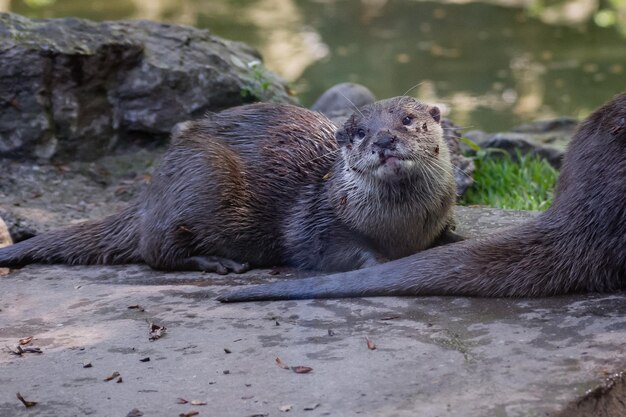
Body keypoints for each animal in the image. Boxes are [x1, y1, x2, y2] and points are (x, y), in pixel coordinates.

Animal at [0, 97, 458, 272]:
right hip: (199, 177)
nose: (383, 140)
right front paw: (380, 262)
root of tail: (149, 195)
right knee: (155, 251)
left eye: (408, 120)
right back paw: (217, 263)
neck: (400, 225)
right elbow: (332, 252)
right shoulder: (319, 223)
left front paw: (453, 241)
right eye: (360, 132)